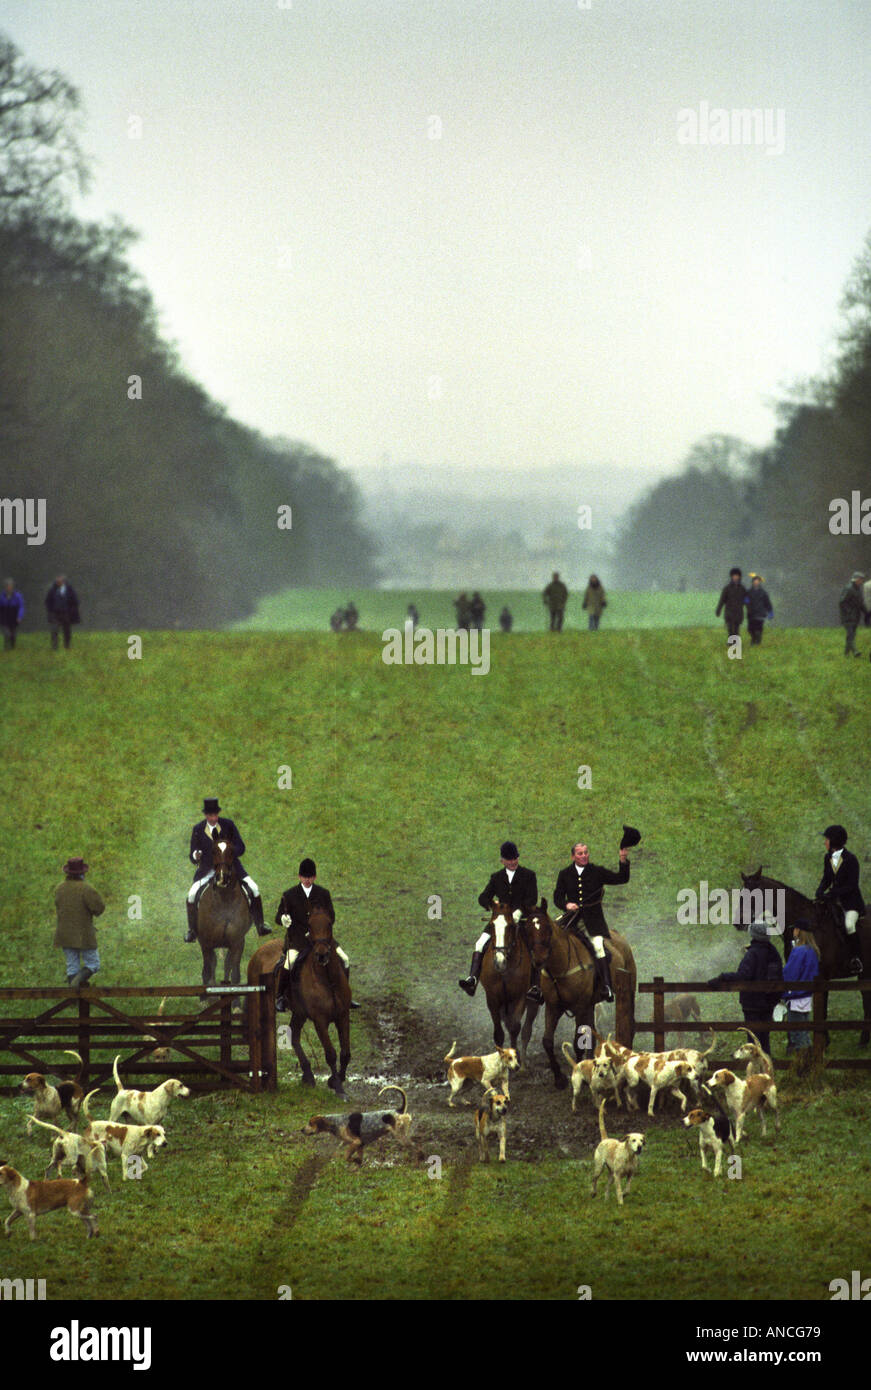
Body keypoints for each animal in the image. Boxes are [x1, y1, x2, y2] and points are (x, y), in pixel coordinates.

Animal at [194, 828, 252, 1006]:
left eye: (232, 851)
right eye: (213, 851)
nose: (222, 878)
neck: (224, 899)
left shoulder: (237, 942)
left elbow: (235, 973)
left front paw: (236, 1004)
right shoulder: (206, 942)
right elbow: (208, 968)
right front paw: (206, 998)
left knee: (226, 966)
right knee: (211, 966)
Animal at [477, 895, 538, 1056]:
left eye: (510, 926)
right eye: (492, 925)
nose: (499, 962)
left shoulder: (519, 997)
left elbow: (514, 1028)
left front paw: (514, 1056)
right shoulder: (492, 998)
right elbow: (498, 1033)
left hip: (532, 1001)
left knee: (526, 1029)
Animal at [522, 900, 636, 1084]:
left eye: (547, 929)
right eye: (527, 929)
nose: (538, 960)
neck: (560, 967)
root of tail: (618, 937)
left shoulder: (580, 1007)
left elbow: (578, 1043)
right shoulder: (554, 1007)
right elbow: (547, 1041)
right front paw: (559, 1078)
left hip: (627, 990)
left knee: (628, 1022)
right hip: (590, 1005)